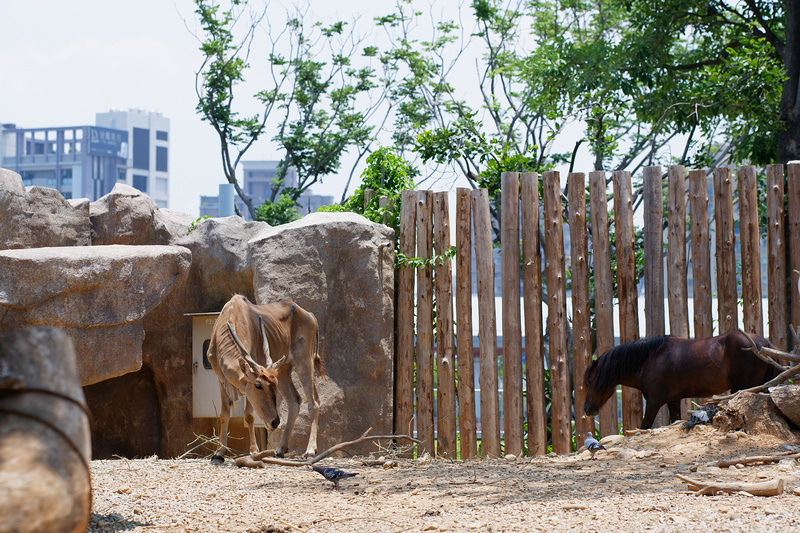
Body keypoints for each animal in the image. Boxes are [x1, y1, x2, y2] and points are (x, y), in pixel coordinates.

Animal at [584, 328, 780, 428]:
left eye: (590, 382)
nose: (587, 409)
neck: (649, 359)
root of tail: (766, 344)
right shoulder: (673, 401)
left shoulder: (654, 402)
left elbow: (645, 426)